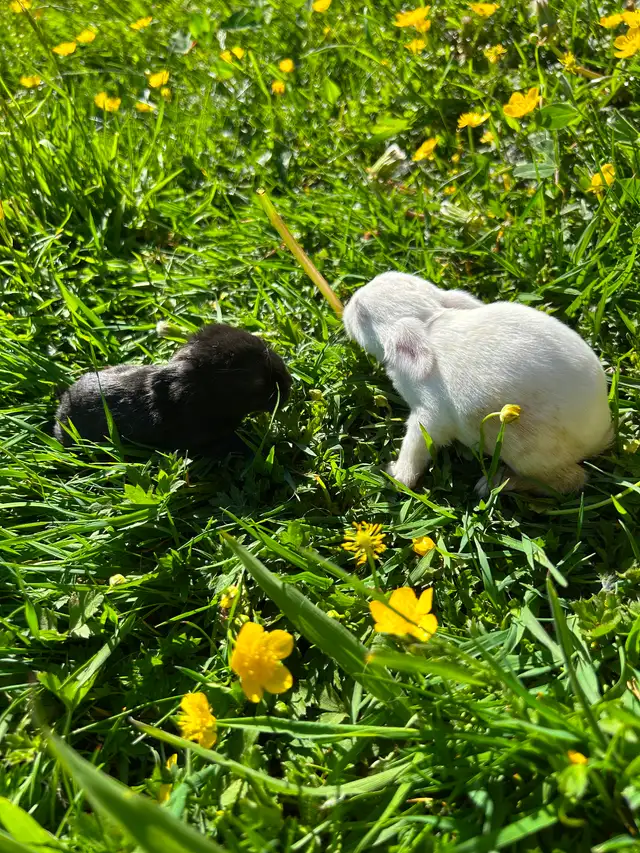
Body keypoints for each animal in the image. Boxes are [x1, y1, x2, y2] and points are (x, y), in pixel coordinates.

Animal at [343, 271, 613, 495]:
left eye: (362, 313)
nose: (347, 303)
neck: (429, 319)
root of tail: (601, 434)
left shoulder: (430, 415)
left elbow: (416, 445)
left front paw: (395, 475)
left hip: (530, 455)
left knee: (571, 481)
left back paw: (494, 484)